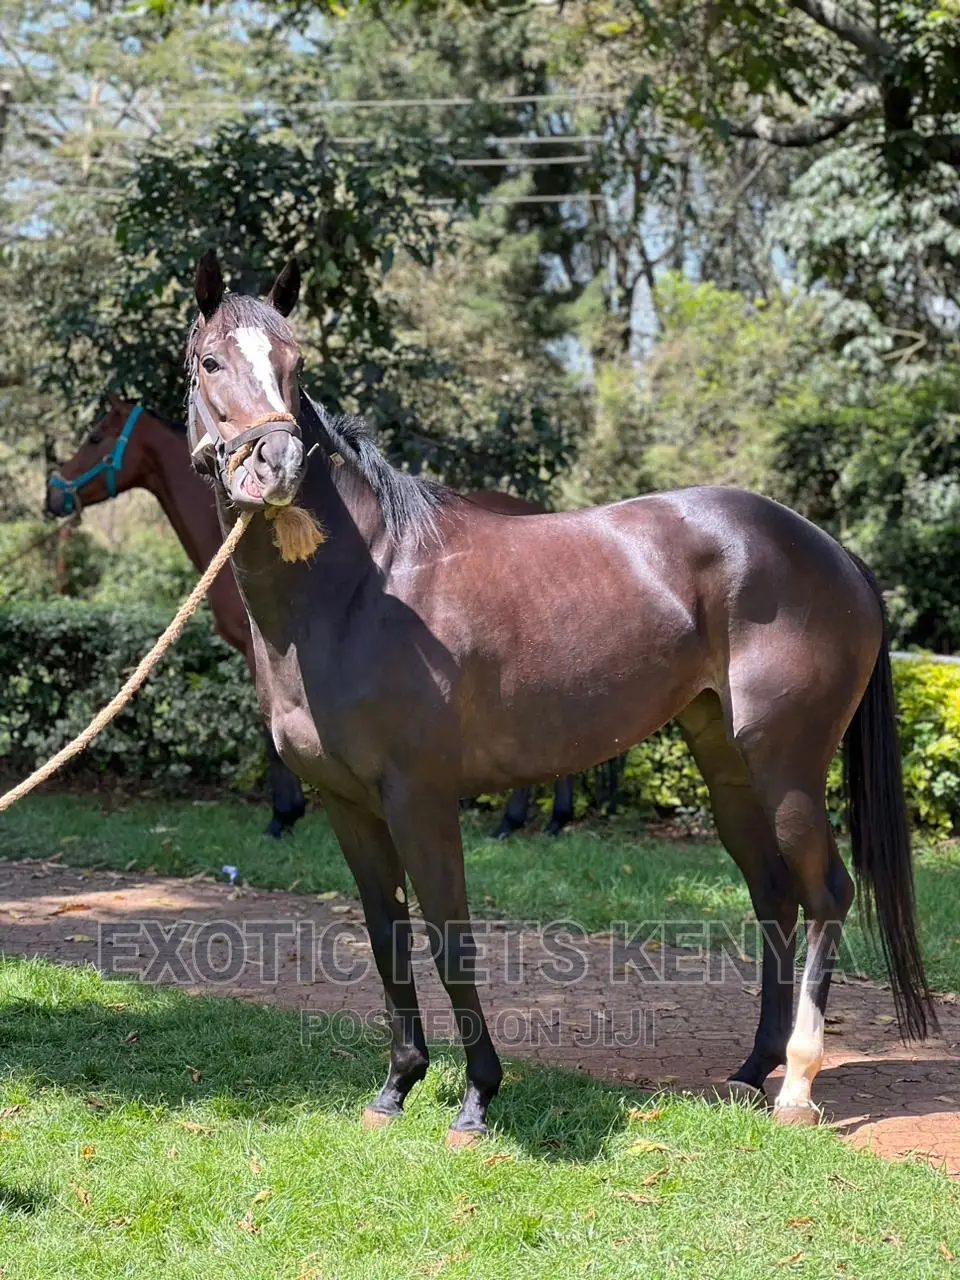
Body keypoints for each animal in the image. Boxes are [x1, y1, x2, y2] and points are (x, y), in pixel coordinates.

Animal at [44, 398, 584, 838]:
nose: (53, 495)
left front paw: (283, 816)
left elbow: (268, 735)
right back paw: (550, 819)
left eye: (95, 438)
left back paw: (515, 821)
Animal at [183, 250, 933, 1141]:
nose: (277, 466)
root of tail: (832, 552)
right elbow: (385, 940)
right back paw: (753, 1069)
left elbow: (450, 941)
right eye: (210, 362)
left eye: (296, 365)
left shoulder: (420, 799)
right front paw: (396, 1088)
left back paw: (798, 1086)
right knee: (774, 899)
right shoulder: (348, 805)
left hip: (787, 769)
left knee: (826, 895)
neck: (359, 585)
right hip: (727, 768)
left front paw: (476, 1098)